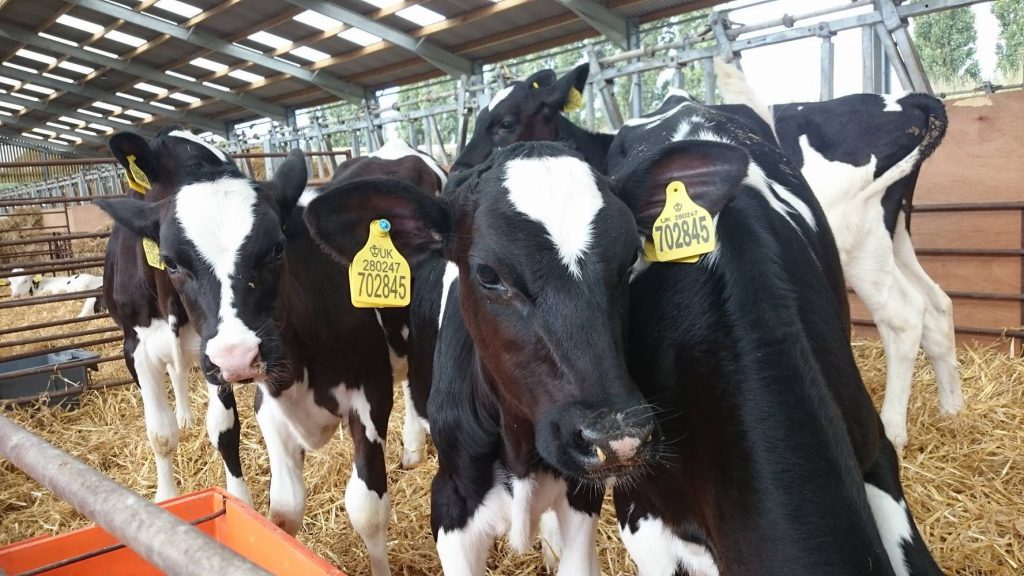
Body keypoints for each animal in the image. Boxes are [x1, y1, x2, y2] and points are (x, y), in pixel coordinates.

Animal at [102, 127, 248, 500]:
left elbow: (225, 430)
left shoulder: (215, 344)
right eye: (196, 166)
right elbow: (160, 434)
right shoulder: (135, 348)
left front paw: (241, 500)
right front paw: (166, 497)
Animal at [303, 141, 655, 569]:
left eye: (632, 258)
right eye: (488, 274)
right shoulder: (451, 502)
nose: (618, 438)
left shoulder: (580, 495)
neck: (519, 456)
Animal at [716, 62, 962, 448]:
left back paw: (893, 431)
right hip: (892, 233)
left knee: (905, 315)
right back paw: (953, 410)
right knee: (936, 304)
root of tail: (905, 101)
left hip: (857, 235)